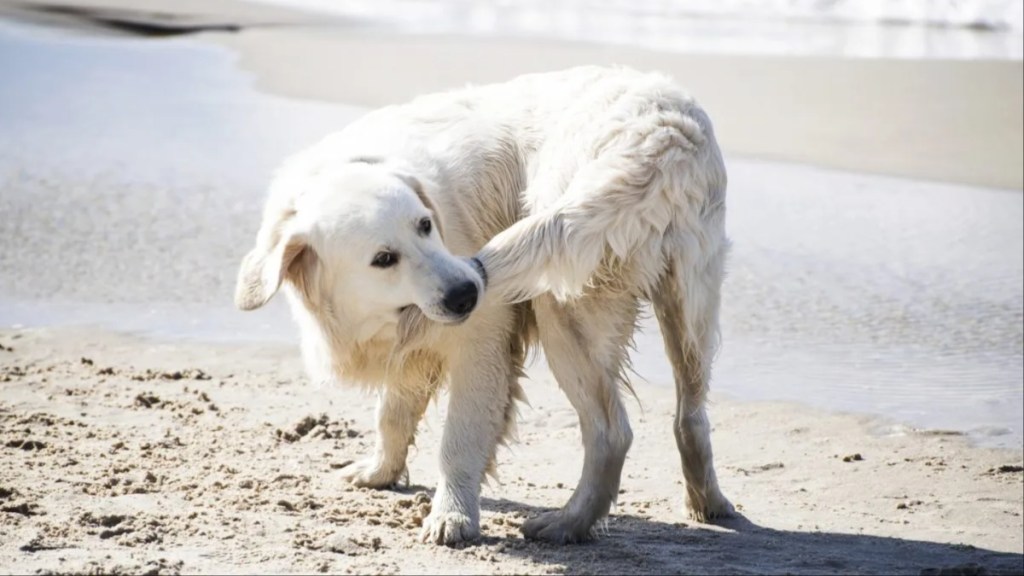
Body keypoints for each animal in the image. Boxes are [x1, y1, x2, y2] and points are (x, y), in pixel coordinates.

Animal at [235, 65, 733, 545]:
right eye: (383, 259)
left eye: (425, 225)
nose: (467, 292)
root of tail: (662, 135)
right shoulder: (411, 349)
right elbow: (392, 414)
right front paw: (380, 472)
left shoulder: (481, 341)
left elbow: (458, 439)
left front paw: (452, 515)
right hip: (690, 308)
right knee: (690, 416)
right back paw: (708, 503)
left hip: (562, 304)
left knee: (612, 432)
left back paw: (567, 524)